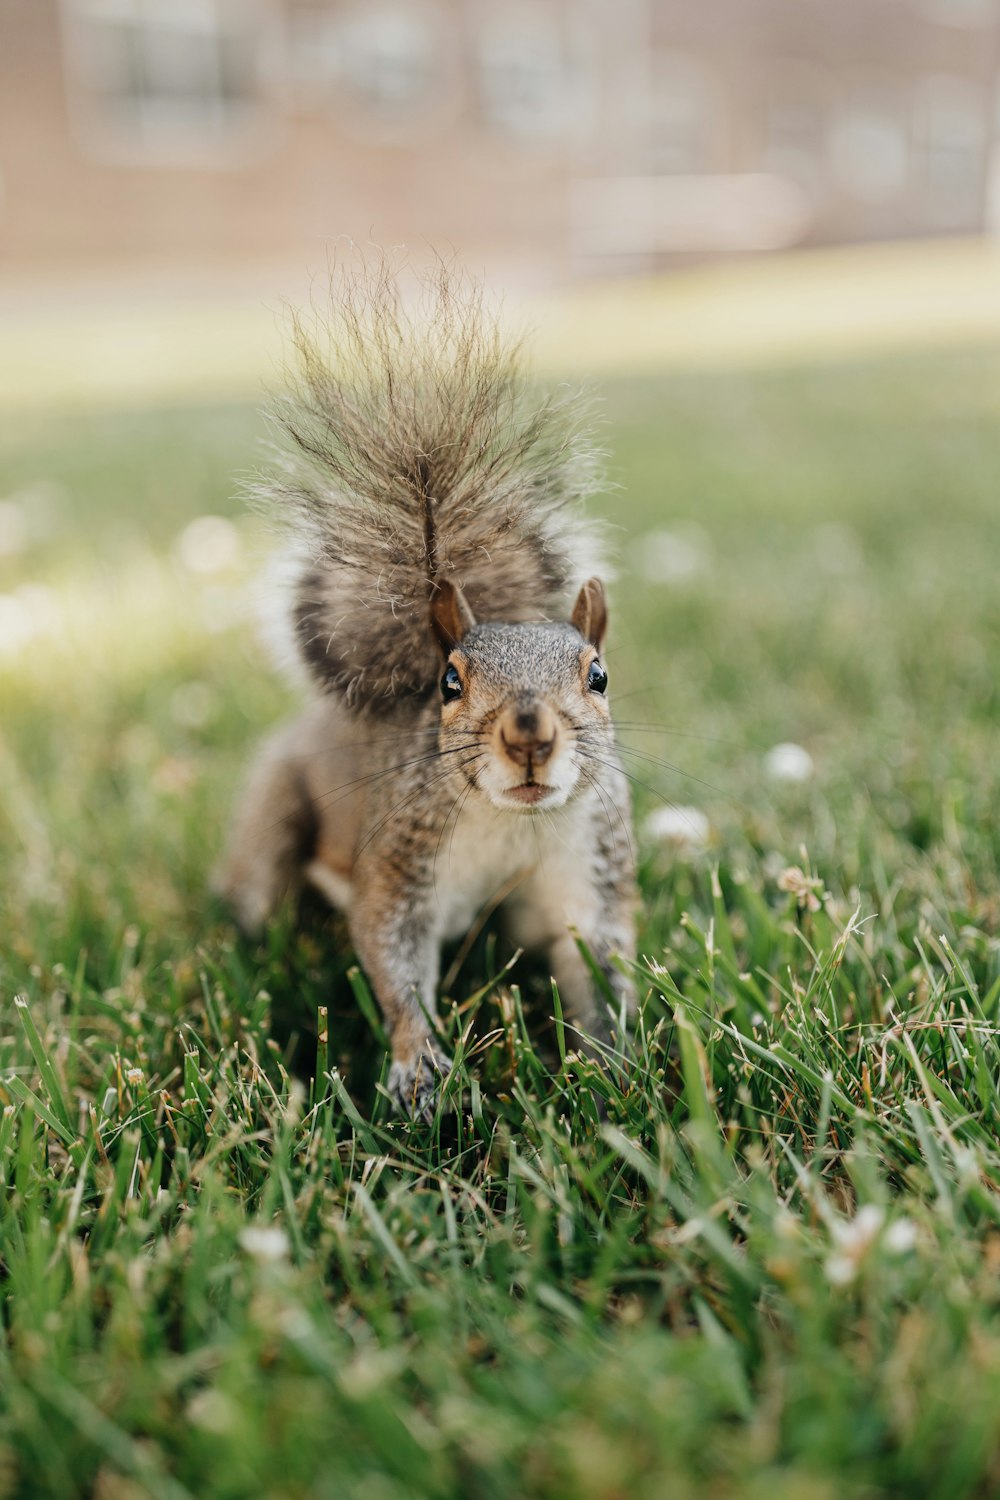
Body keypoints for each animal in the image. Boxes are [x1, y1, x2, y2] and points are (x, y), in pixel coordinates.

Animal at [217, 264, 641, 1122]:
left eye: (599, 675)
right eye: (450, 682)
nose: (528, 736)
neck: (512, 823)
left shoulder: (589, 863)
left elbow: (597, 963)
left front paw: (609, 1069)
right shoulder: (402, 854)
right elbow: (391, 952)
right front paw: (421, 1070)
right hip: (275, 814)